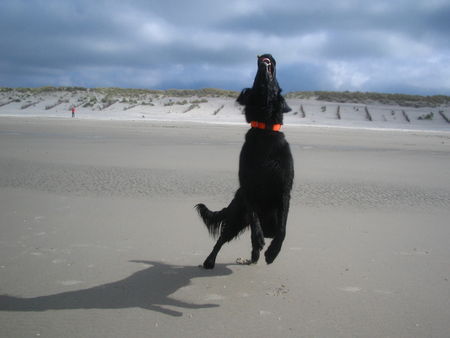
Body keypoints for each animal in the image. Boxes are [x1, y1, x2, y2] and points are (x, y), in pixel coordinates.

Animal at [195, 53, 294, 270]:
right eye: (255, 81)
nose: (267, 56)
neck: (265, 131)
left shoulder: (285, 189)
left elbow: (283, 228)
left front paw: (272, 253)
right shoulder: (248, 187)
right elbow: (255, 219)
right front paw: (259, 240)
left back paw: (254, 257)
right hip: (236, 218)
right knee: (221, 239)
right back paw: (210, 261)